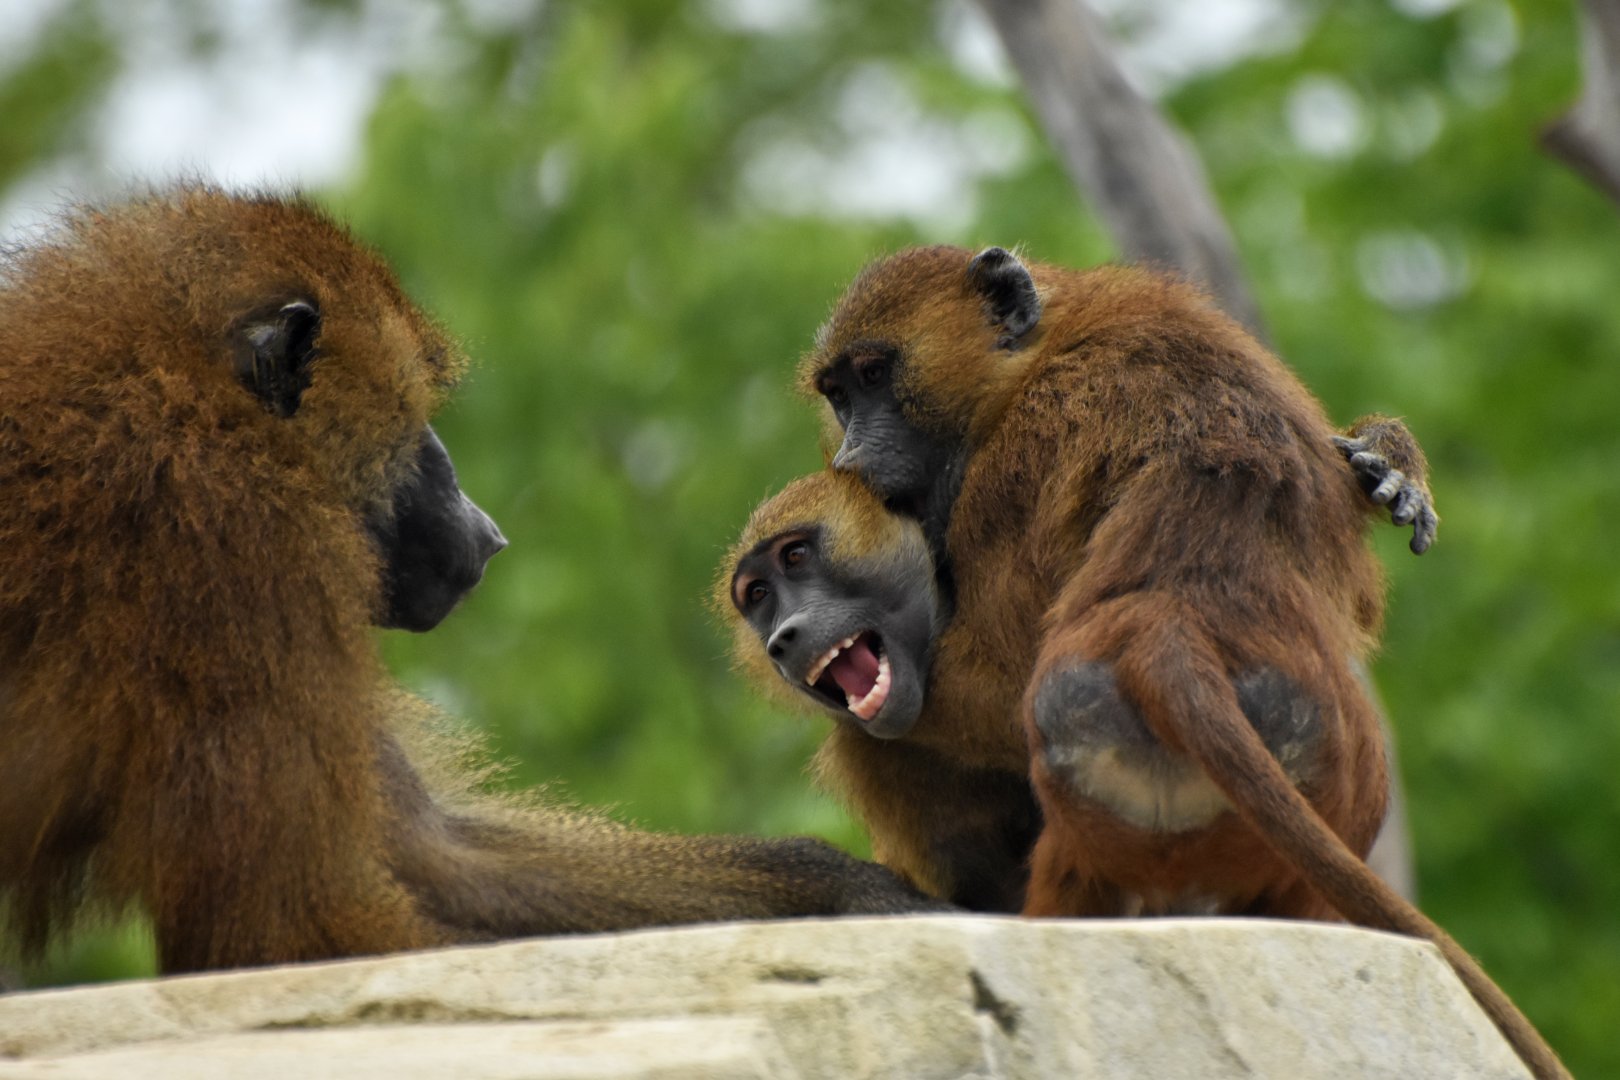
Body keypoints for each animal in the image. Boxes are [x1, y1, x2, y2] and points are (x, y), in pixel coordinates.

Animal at [0, 186, 939, 976]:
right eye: (418, 421)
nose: (486, 531)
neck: (182, 395)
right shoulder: (240, 549)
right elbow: (292, 927)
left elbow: (435, 854)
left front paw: (849, 891)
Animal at [788, 245, 1562, 1079]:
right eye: (838, 394)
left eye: (875, 375)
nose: (851, 458)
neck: (1046, 351)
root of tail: (1173, 626)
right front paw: (1386, 460)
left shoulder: (1015, 462)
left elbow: (992, 685)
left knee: (877, 738)